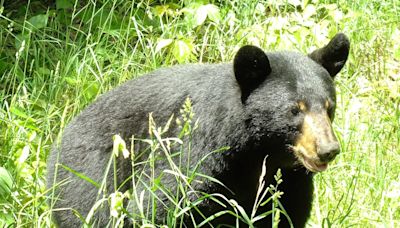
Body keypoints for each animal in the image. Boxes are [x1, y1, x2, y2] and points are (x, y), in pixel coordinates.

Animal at [45, 33, 348, 227]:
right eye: (295, 110)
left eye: (329, 107)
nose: (328, 149)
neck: (255, 154)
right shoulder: (195, 154)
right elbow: (155, 204)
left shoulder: (289, 180)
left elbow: (286, 213)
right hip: (93, 176)